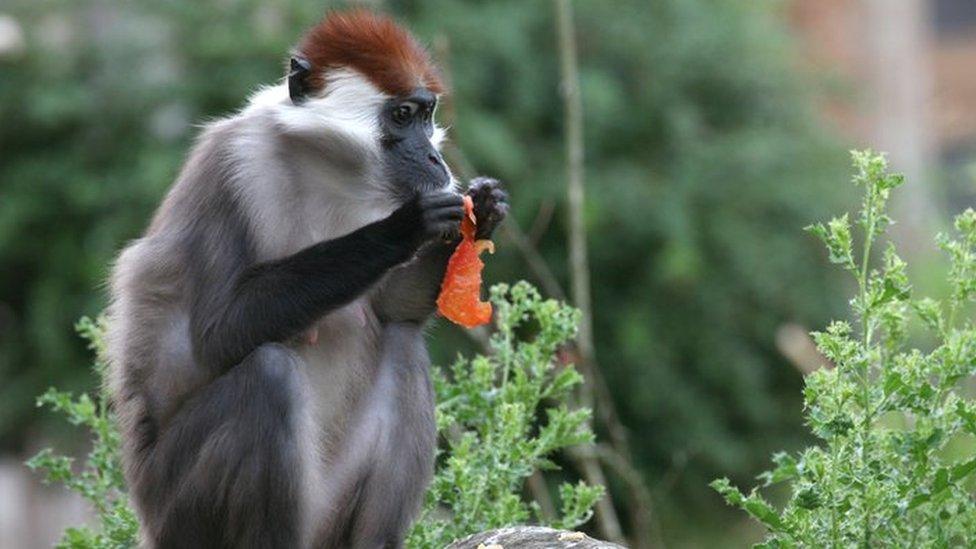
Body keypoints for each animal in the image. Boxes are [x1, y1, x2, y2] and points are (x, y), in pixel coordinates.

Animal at [104, 9, 508, 548]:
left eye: (426, 116)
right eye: (402, 116)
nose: (434, 159)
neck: (326, 168)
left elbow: (393, 310)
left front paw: (484, 209)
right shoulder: (229, 164)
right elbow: (215, 334)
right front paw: (407, 227)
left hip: (329, 511)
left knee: (403, 346)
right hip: (181, 512)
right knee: (269, 374)